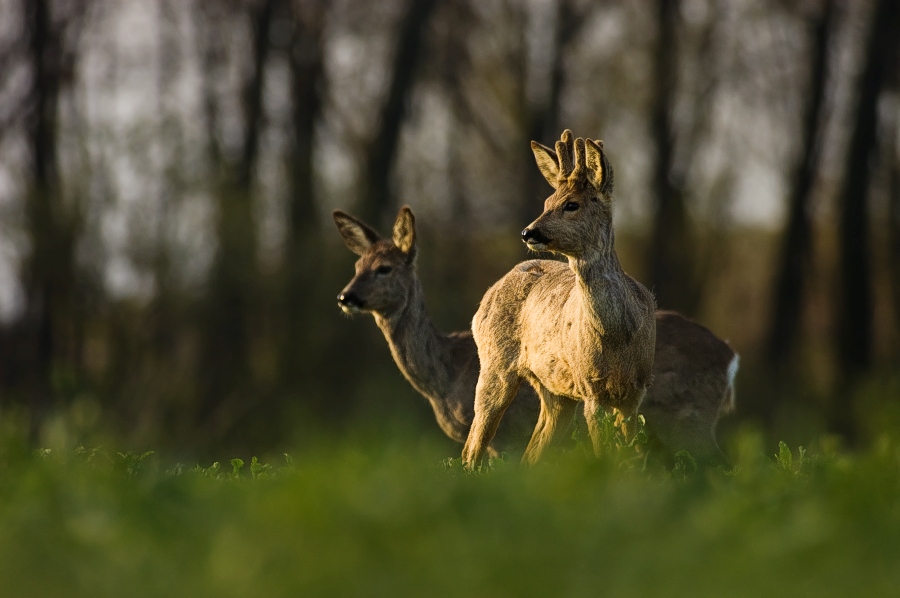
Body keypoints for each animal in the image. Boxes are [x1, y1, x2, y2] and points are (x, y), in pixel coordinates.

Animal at [334, 205, 738, 466]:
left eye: (385, 268)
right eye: (357, 265)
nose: (345, 297)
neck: (444, 379)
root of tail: (731, 356)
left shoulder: (510, 432)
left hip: (689, 417)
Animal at [461, 130, 658, 468]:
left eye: (571, 204)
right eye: (547, 202)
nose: (528, 232)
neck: (619, 336)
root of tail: (489, 293)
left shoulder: (635, 392)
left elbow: (629, 454)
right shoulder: (592, 390)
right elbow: (603, 453)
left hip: (555, 390)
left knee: (532, 449)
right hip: (494, 362)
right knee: (473, 444)